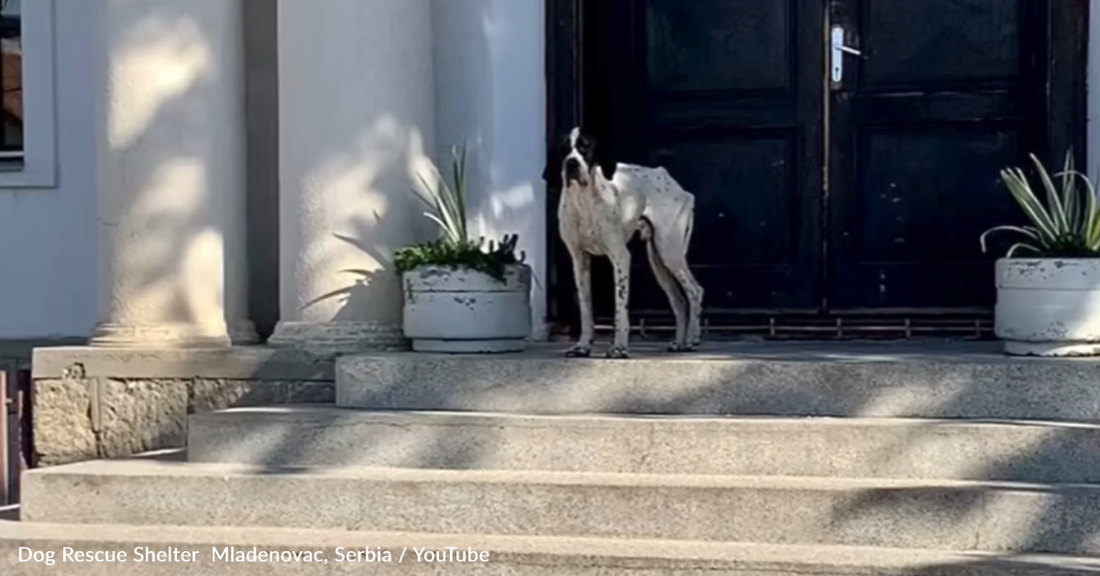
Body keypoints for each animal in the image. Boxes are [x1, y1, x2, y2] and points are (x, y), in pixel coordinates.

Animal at [547, 128, 708, 358]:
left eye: (585, 147)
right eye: (564, 148)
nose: (571, 163)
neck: (585, 201)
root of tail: (668, 178)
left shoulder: (620, 257)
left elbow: (620, 308)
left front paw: (619, 348)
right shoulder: (579, 260)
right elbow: (586, 311)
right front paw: (583, 346)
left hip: (669, 252)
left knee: (695, 291)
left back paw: (691, 340)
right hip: (658, 261)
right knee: (678, 301)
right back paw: (679, 343)